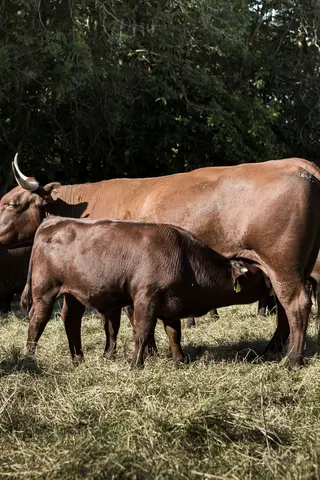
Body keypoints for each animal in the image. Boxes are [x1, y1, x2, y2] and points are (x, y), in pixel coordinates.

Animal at [22, 218, 272, 368]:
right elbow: (142, 332)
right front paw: (136, 364)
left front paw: (179, 360)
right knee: (38, 320)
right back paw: (29, 356)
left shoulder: (172, 305)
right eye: (258, 275)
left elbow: (174, 334)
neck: (185, 259)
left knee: (71, 320)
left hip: (73, 294)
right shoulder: (145, 299)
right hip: (45, 290)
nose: (271, 283)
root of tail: (53, 221)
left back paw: (78, 358)